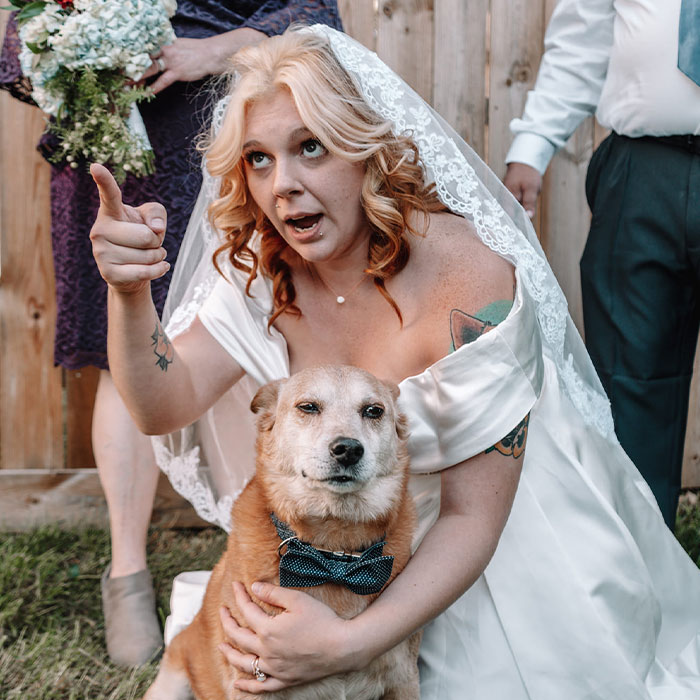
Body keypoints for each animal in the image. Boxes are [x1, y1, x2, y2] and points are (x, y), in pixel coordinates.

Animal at [141, 366, 416, 700]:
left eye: (374, 411)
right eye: (308, 407)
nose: (348, 449)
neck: (334, 556)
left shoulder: (404, 679)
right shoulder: (252, 685)